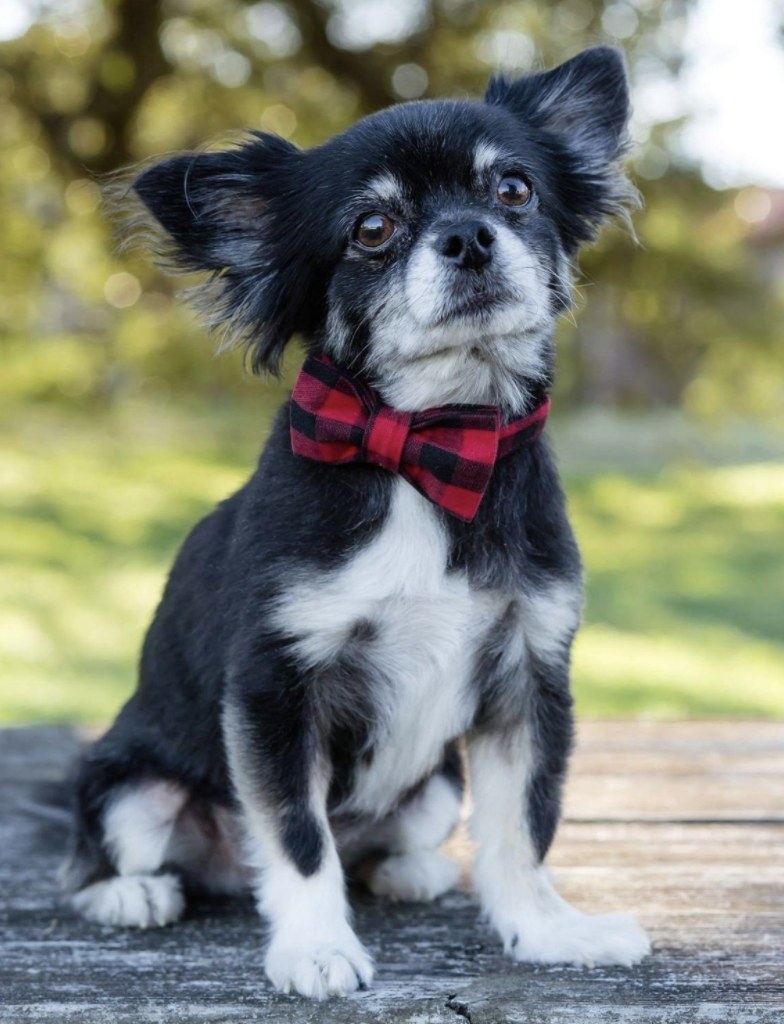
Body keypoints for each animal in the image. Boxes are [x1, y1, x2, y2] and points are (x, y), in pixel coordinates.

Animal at [62, 44, 650, 995]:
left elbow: (522, 831)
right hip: (128, 787)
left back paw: (409, 870)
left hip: (437, 786)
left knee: (390, 841)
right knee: (108, 855)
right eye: (371, 230)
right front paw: (315, 948)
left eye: (514, 190)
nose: (468, 236)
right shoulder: (276, 688)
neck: (425, 442)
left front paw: (548, 931)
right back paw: (129, 894)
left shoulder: (527, 676)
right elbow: (299, 836)